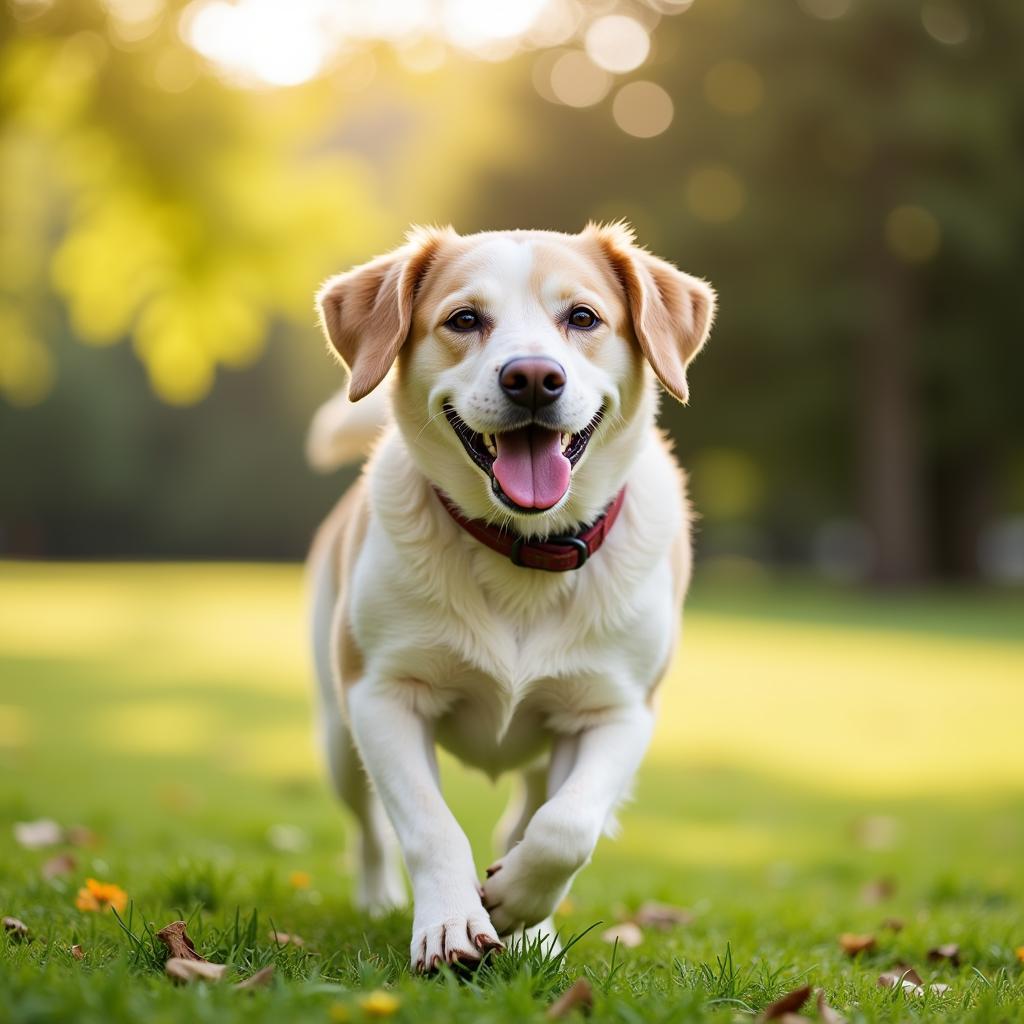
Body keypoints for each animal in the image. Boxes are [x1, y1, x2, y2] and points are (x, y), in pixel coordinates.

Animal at [307, 222, 716, 966]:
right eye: (465, 320)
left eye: (582, 317)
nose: (532, 377)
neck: (526, 552)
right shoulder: (382, 696)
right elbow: (430, 827)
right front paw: (449, 924)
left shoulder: (617, 711)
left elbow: (565, 828)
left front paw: (516, 903)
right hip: (336, 736)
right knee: (369, 828)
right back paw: (380, 897)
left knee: (531, 816)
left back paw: (534, 931)